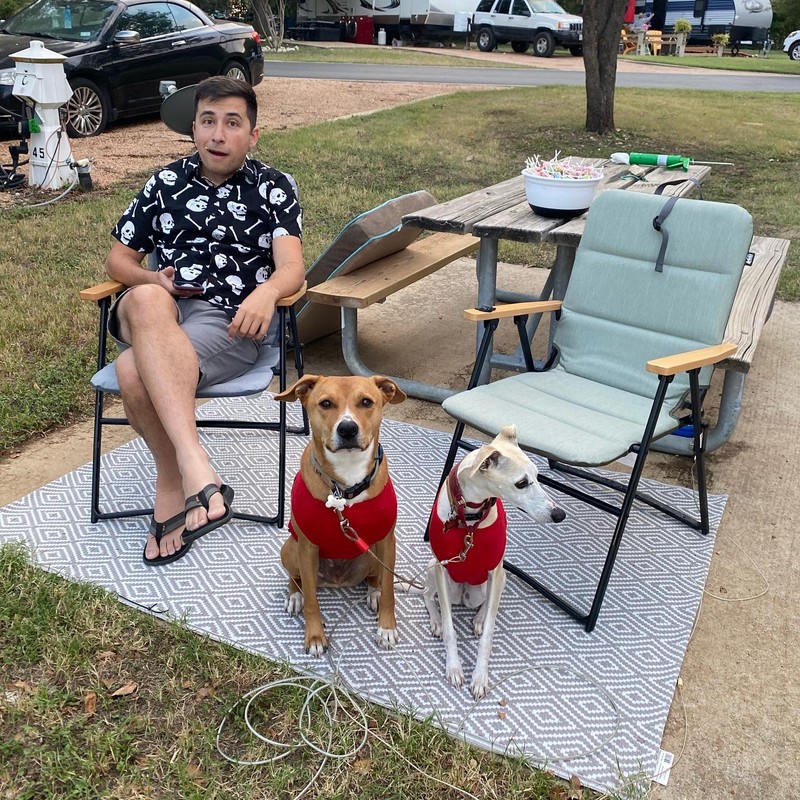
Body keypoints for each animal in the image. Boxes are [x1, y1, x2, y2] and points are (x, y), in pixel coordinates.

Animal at [278, 376, 410, 656]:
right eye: (326, 403)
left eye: (366, 402)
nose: (348, 429)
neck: (346, 483)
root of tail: (337, 582)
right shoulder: (307, 547)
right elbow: (312, 600)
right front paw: (315, 636)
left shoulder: (387, 540)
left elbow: (389, 590)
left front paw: (386, 627)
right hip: (290, 548)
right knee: (297, 579)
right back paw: (294, 596)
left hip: (372, 551)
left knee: (375, 577)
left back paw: (373, 592)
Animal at [422, 424, 564, 700]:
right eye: (521, 483)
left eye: (538, 476)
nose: (559, 514)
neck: (469, 518)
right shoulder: (443, 566)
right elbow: (450, 628)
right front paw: (454, 667)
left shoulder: (495, 572)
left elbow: (488, 633)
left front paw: (479, 677)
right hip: (434, 570)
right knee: (427, 595)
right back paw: (436, 621)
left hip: (492, 583)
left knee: (486, 604)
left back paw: (478, 618)